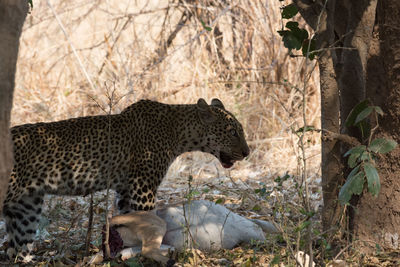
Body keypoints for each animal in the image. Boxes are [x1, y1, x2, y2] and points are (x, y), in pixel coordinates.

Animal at [2, 98, 250, 262]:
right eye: (232, 132)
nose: (247, 153)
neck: (179, 132)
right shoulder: (143, 186)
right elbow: (147, 218)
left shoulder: (125, 190)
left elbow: (126, 221)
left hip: (26, 206)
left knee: (18, 247)